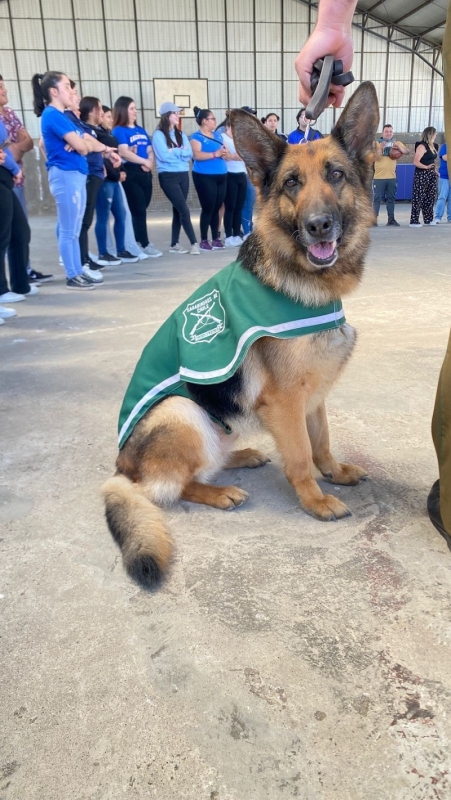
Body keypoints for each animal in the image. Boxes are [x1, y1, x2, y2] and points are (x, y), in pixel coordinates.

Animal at [103, 84, 382, 592]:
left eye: (336, 175)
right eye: (291, 183)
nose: (318, 225)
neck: (303, 284)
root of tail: (121, 469)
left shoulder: (313, 396)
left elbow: (322, 441)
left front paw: (333, 472)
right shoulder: (286, 401)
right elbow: (300, 456)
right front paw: (315, 499)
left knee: (210, 457)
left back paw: (243, 456)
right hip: (182, 411)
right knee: (169, 487)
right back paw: (219, 492)